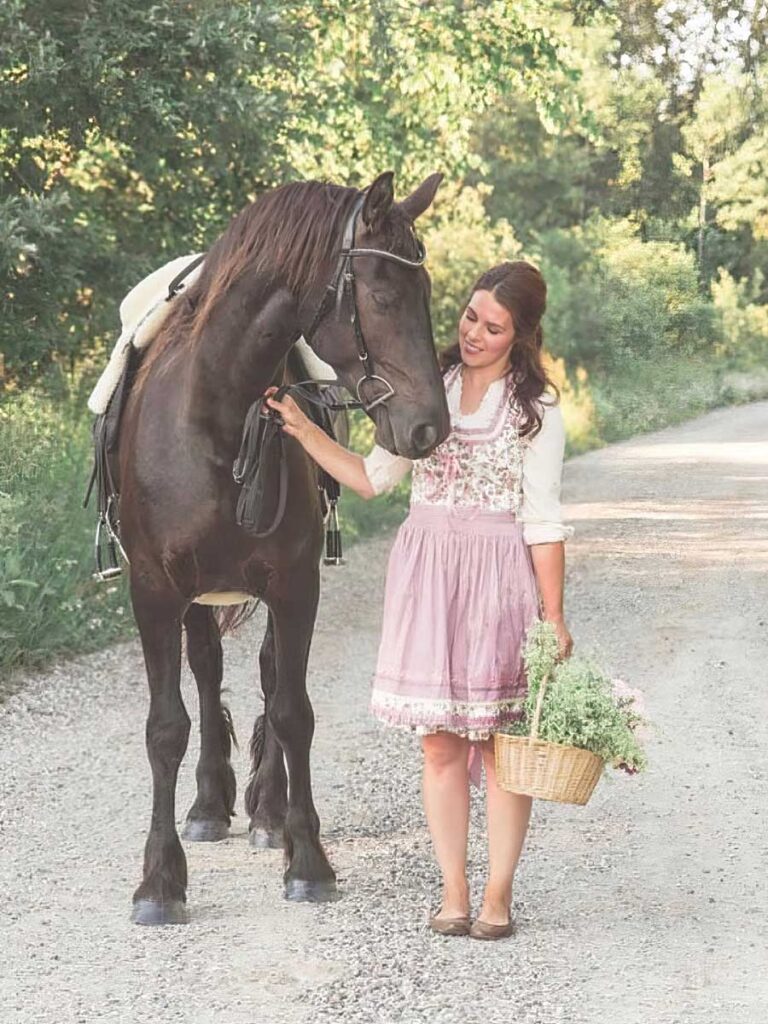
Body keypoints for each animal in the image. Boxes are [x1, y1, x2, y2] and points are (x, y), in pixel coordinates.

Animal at [118, 172, 450, 925]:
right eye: (382, 293)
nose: (429, 427)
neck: (212, 418)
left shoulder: (296, 583)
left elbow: (294, 711)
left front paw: (308, 860)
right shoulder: (154, 590)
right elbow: (165, 727)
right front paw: (159, 881)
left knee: (269, 676)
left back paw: (269, 813)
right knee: (207, 671)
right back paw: (210, 805)